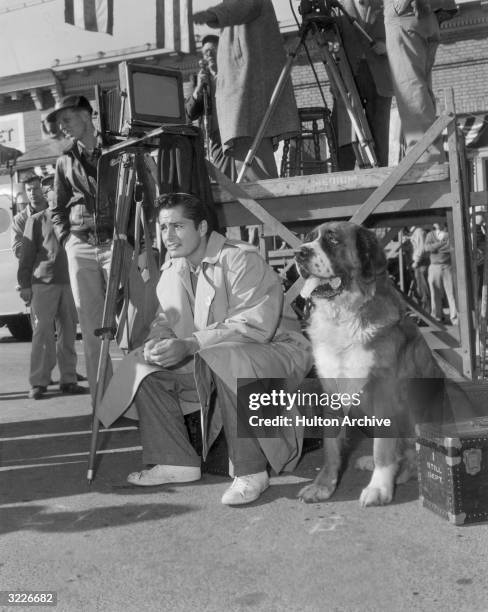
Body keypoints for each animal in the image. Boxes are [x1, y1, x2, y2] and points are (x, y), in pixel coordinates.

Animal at [294, 220, 454, 506]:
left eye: (332, 239)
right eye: (308, 239)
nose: (299, 253)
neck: (345, 316)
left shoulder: (383, 393)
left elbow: (384, 447)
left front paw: (379, 487)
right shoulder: (332, 393)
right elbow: (331, 447)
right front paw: (323, 486)